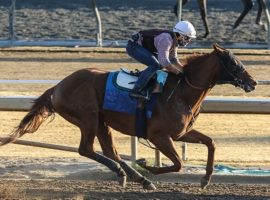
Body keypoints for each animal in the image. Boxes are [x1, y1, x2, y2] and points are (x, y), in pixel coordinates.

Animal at [0, 43, 256, 190]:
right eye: (234, 62)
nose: (253, 82)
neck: (181, 90)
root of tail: (57, 87)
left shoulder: (180, 133)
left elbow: (210, 143)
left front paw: (205, 179)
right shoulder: (158, 136)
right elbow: (178, 163)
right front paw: (149, 166)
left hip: (101, 122)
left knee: (108, 151)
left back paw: (133, 176)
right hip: (88, 118)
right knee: (86, 149)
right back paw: (135, 175)